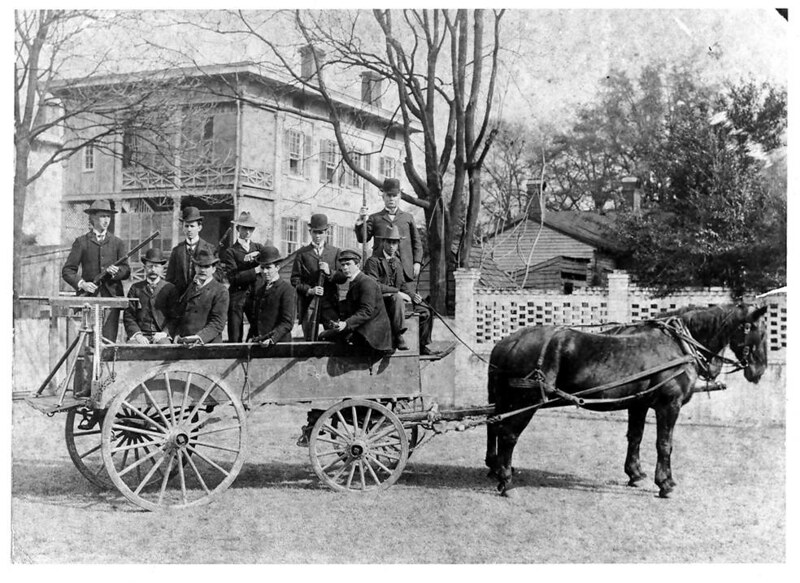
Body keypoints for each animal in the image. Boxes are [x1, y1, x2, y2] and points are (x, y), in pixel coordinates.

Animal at [482, 304, 768, 500]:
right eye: (758, 331)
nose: (759, 371)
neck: (678, 345)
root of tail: (510, 342)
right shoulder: (669, 405)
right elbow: (665, 444)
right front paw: (665, 483)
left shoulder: (638, 404)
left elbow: (636, 437)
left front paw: (635, 474)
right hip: (526, 400)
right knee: (508, 435)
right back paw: (505, 480)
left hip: (506, 400)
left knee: (494, 426)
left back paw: (496, 467)